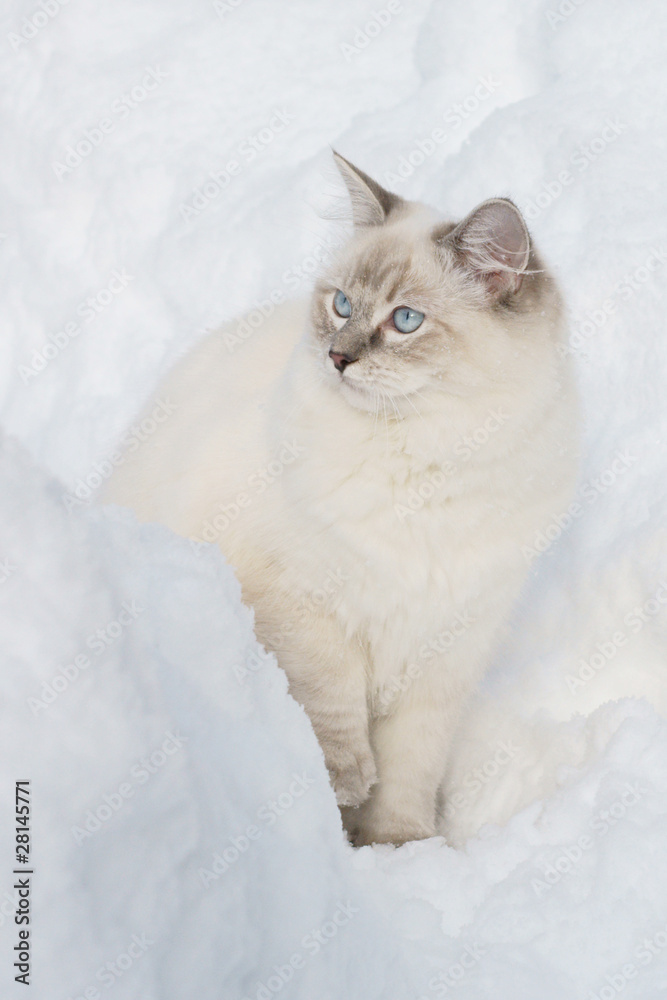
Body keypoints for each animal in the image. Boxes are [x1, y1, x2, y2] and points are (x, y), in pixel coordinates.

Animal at [103, 154, 580, 844]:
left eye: (405, 320)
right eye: (342, 304)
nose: (337, 357)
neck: (423, 458)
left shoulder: (448, 646)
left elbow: (412, 766)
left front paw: (401, 845)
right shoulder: (301, 604)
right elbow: (331, 708)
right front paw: (346, 792)